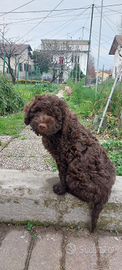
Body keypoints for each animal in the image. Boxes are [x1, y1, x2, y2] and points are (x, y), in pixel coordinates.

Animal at [23, 94, 115, 231]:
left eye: (56, 116)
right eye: (38, 110)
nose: (42, 125)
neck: (60, 132)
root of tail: (107, 191)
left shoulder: (64, 159)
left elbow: (62, 175)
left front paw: (60, 188)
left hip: (74, 175)